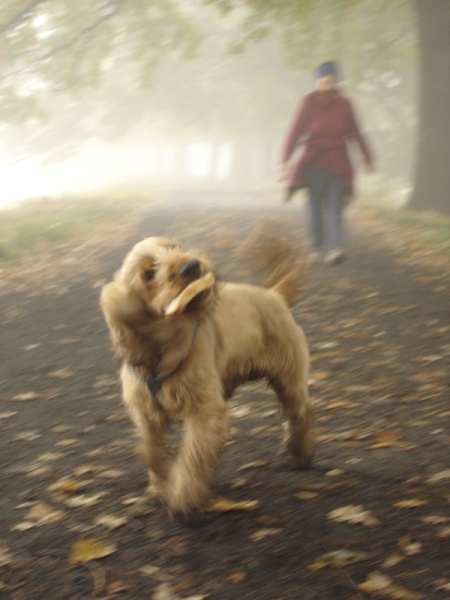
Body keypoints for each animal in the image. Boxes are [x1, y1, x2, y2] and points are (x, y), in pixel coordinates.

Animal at [100, 234, 314, 520]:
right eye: (148, 274)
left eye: (174, 248)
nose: (191, 265)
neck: (162, 347)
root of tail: (274, 294)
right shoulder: (147, 414)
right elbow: (153, 452)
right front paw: (161, 487)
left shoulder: (204, 411)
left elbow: (193, 456)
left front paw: (184, 500)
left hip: (288, 377)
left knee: (301, 412)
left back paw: (299, 455)